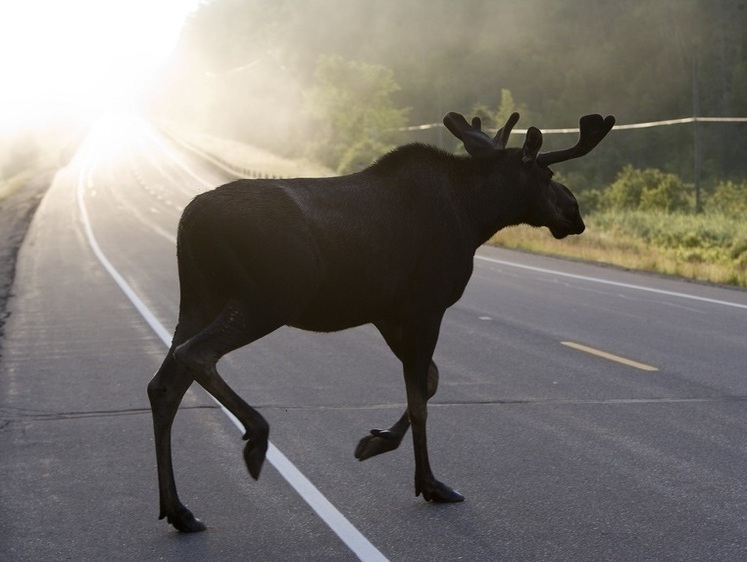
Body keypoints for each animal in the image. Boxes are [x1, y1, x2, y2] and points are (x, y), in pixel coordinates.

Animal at [146, 108, 612, 528]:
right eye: (547, 176)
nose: (575, 213)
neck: (477, 216)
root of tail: (188, 222)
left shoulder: (388, 313)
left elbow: (430, 382)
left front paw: (377, 440)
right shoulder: (426, 306)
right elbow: (420, 400)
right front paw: (430, 484)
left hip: (200, 300)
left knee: (164, 385)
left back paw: (178, 510)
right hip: (266, 299)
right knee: (196, 355)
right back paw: (256, 438)